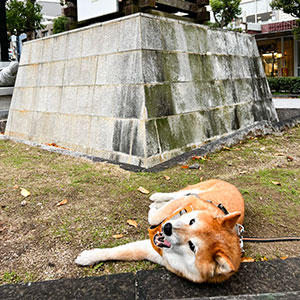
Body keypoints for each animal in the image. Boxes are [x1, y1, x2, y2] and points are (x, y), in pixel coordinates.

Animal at [74, 180, 244, 284]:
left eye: (192, 246)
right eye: (192, 221)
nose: (167, 228)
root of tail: (233, 186)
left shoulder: (156, 252)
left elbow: (122, 252)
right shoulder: (185, 203)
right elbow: (155, 216)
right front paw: (89, 256)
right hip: (192, 192)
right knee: (177, 194)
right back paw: (157, 198)